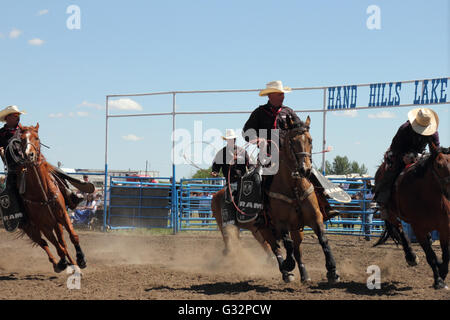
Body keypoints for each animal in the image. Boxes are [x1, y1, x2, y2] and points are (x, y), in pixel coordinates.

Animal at [14, 124, 87, 272]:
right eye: (22, 139)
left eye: (36, 138)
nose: (29, 155)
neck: (42, 193)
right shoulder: (43, 225)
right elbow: (58, 247)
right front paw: (62, 263)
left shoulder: (62, 215)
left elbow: (73, 237)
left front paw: (81, 259)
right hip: (30, 228)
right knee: (44, 243)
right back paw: (57, 263)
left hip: (56, 224)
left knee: (62, 242)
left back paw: (73, 264)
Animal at [376, 146, 450, 288]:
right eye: (439, 165)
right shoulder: (418, 229)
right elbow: (430, 255)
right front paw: (438, 280)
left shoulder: (444, 228)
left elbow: (445, 254)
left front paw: (442, 273)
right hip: (391, 214)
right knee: (400, 230)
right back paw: (411, 257)